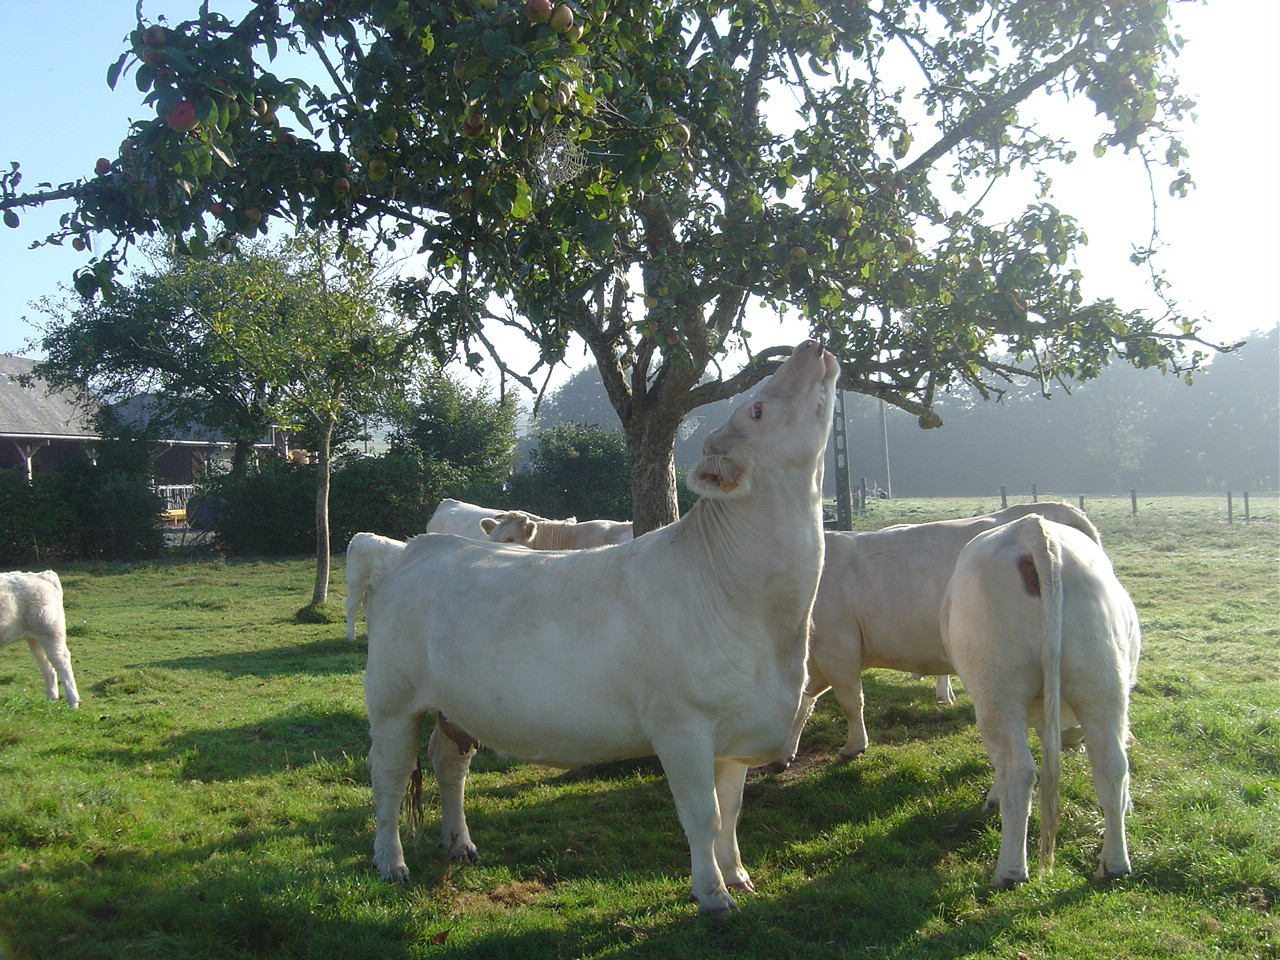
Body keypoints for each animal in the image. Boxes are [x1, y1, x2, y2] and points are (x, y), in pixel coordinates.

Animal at [0, 570, 80, 708]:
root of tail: (41, 575)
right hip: (35, 638)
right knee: (47, 666)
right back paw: (51, 699)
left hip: (51, 633)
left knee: (61, 661)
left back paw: (73, 701)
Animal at [362, 340, 839, 915]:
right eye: (757, 409)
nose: (811, 345)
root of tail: (418, 548)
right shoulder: (680, 726)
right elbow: (703, 816)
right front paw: (712, 894)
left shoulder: (736, 728)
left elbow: (731, 812)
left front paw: (738, 876)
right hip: (391, 700)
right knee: (387, 779)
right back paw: (390, 863)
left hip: (453, 705)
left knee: (448, 763)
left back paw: (459, 845)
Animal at [940, 514, 1140, 887]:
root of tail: (1032, 528)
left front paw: (992, 798)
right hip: (1103, 683)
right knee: (1112, 765)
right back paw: (1114, 863)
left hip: (997, 693)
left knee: (1018, 771)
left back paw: (1010, 871)